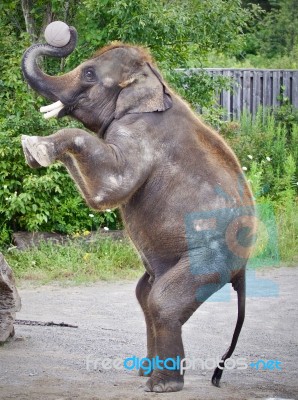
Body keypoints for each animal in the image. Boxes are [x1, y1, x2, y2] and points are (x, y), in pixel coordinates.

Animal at [21, 26, 255, 392]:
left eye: (89, 74)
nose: (65, 32)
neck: (153, 82)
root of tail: (242, 269)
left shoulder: (139, 135)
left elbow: (110, 188)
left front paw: (35, 148)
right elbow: (100, 194)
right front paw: (32, 150)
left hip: (210, 257)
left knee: (161, 301)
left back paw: (160, 386)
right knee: (144, 296)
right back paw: (145, 371)